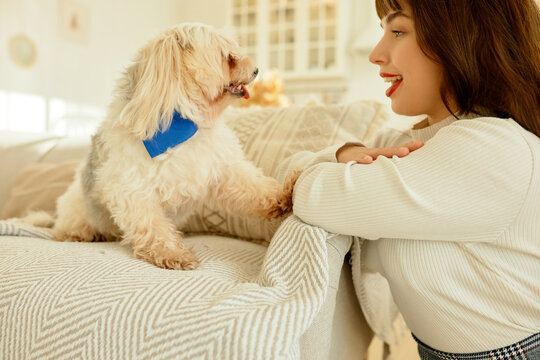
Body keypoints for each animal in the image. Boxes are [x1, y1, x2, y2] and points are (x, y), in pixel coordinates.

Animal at [52, 23, 298, 270]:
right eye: (226, 56)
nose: (257, 70)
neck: (183, 125)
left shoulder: (224, 168)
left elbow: (254, 187)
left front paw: (284, 197)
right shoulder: (132, 190)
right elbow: (151, 225)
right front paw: (170, 252)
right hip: (77, 209)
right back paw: (77, 234)